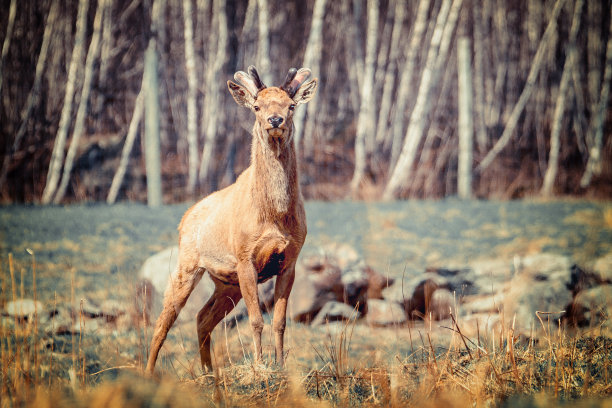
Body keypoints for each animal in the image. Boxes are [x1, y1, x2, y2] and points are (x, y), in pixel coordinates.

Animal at [146, 65, 318, 374]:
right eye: (257, 107)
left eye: (291, 105)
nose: (275, 120)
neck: (274, 217)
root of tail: (184, 218)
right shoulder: (245, 256)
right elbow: (256, 321)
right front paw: (260, 367)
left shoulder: (290, 260)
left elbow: (280, 322)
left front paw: (280, 366)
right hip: (188, 264)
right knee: (164, 319)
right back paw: (149, 373)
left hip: (227, 282)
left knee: (202, 318)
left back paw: (208, 373)